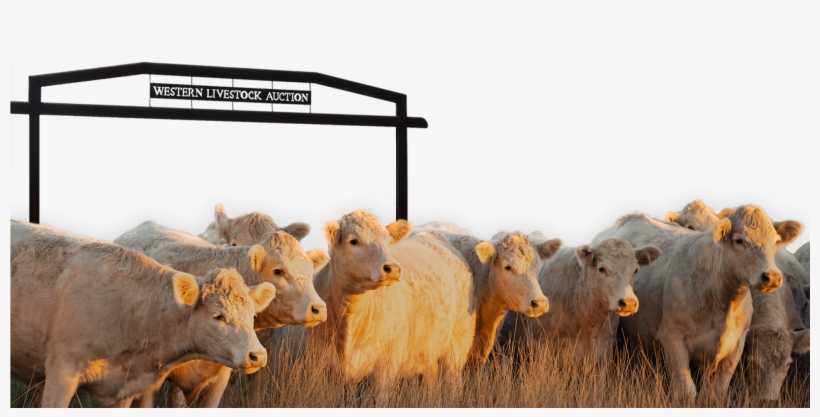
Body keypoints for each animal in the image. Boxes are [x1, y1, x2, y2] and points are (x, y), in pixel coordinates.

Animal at [592, 206, 799, 402]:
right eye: (739, 240)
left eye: (775, 240)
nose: (771, 276)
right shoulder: (673, 337)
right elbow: (686, 391)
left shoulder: (736, 347)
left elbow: (716, 392)